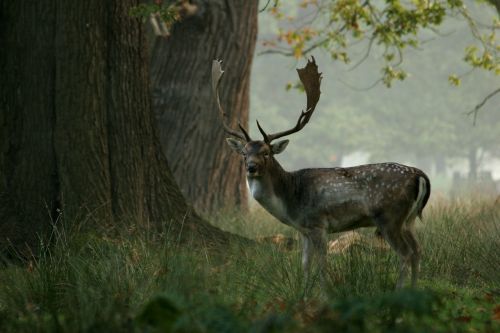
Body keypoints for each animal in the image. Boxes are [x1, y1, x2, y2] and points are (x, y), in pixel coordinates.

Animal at [211, 56, 430, 288]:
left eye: (266, 153)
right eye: (244, 153)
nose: (251, 167)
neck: (290, 200)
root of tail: (420, 175)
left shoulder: (319, 224)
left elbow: (322, 265)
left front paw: (325, 292)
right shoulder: (304, 230)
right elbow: (305, 264)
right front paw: (303, 291)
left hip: (389, 216)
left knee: (405, 253)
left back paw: (399, 290)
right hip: (409, 219)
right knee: (418, 249)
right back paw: (414, 289)